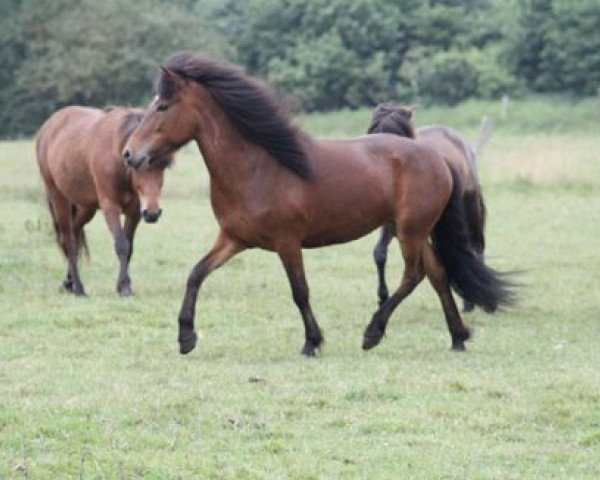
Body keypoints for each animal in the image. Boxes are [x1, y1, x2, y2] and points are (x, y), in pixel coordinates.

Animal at [36, 107, 173, 298]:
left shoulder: (135, 212)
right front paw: (125, 287)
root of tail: (47, 127)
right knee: (68, 240)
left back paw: (69, 283)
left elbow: (129, 247)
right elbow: (121, 244)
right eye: (135, 164)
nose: (152, 212)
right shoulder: (110, 207)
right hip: (58, 197)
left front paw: (122, 286)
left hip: (86, 207)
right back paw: (78, 288)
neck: (118, 160)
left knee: (75, 234)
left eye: (163, 165)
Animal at [366, 103, 488, 314]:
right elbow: (379, 253)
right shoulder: (391, 222)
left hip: (469, 208)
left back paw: (470, 302)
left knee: (475, 248)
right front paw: (382, 298)